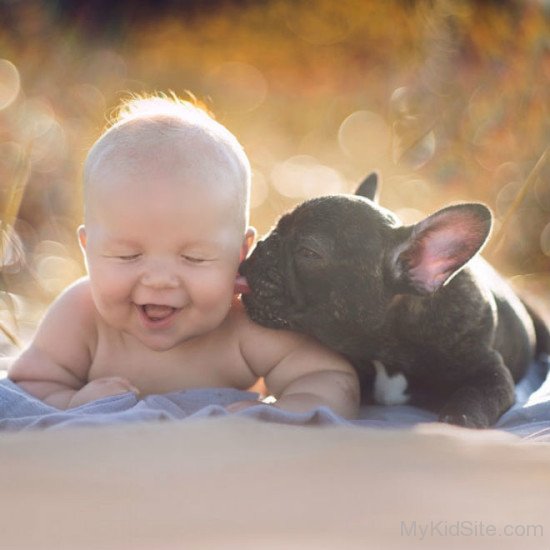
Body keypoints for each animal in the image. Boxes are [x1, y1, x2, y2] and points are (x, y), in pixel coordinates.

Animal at [239, 175, 548, 430]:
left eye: (308, 252)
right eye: (276, 228)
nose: (261, 246)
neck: (387, 349)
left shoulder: (491, 372)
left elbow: (475, 397)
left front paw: (458, 421)